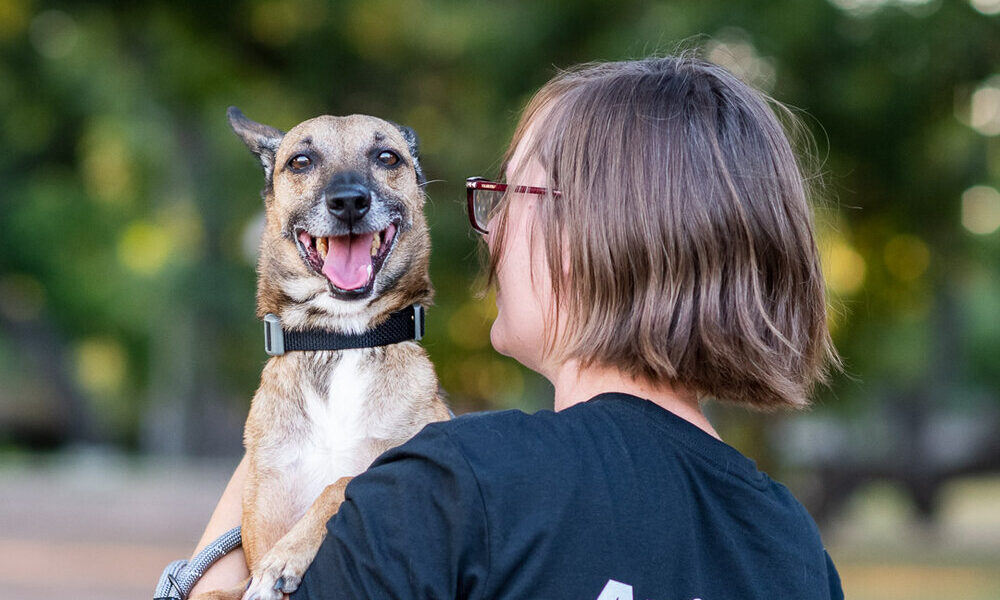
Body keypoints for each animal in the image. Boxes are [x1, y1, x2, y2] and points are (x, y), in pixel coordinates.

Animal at [191, 109, 450, 600]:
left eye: (387, 156)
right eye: (301, 161)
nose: (348, 202)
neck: (338, 341)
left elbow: (343, 481)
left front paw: (286, 557)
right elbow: (218, 590)